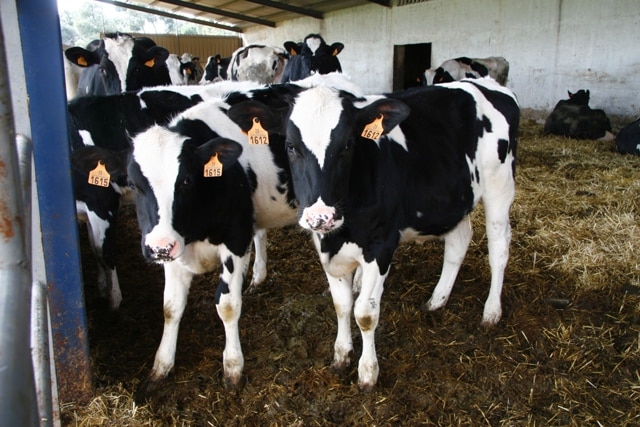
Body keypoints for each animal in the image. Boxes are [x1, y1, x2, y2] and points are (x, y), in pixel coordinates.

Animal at [230, 76, 520, 392]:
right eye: (290, 146)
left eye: (347, 144)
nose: (320, 216)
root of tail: (486, 83)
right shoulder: (325, 247)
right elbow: (342, 305)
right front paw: (341, 354)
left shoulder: (380, 247)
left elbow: (365, 314)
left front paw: (368, 372)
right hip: (455, 199)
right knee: (459, 241)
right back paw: (437, 300)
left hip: (499, 187)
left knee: (499, 249)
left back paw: (491, 311)